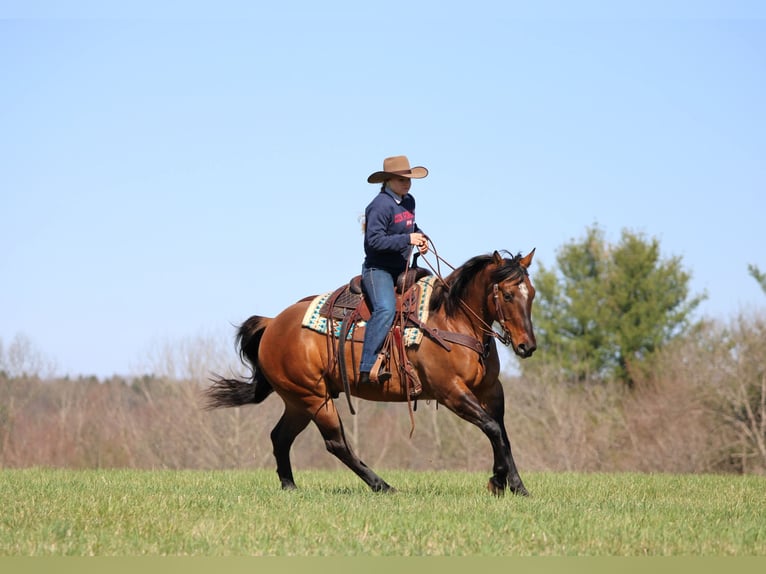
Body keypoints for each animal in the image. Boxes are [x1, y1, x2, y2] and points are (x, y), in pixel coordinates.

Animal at [205, 249, 537, 495]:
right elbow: (492, 428)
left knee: (280, 437)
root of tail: (273, 323)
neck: (452, 319)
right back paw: (382, 486)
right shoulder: (450, 392)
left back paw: (290, 486)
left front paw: (517, 486)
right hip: (314, 398)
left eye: (531, 293)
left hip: (298, 402)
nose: (527, 346)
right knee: (336, 444)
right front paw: (497, 480)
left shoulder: (491, 390)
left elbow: (501, 432)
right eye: (508, 295)